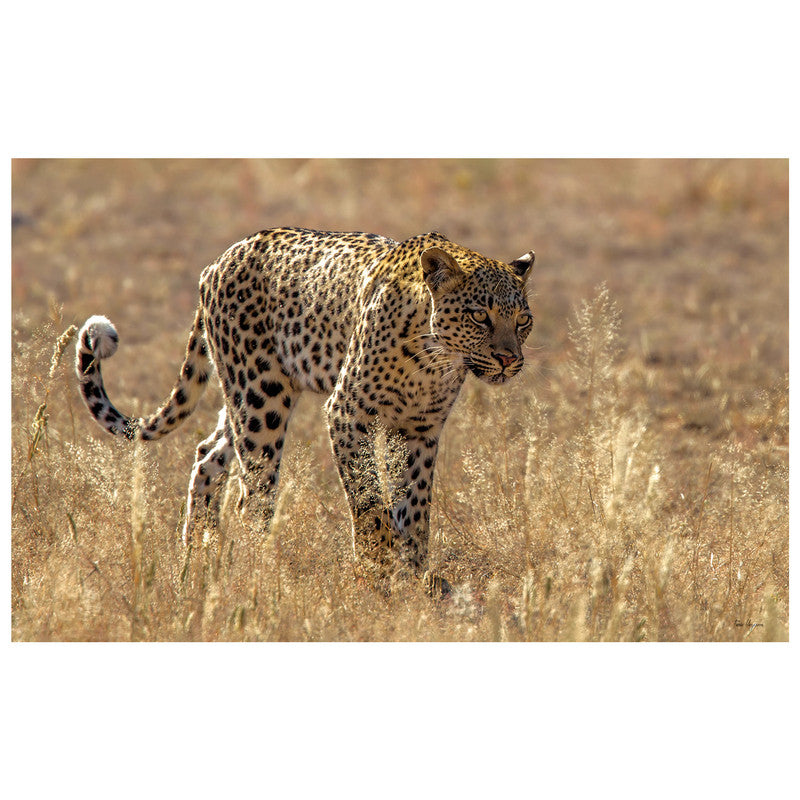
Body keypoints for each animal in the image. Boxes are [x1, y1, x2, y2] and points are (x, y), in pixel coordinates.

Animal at [75, 227, 535, 595]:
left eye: (523, 320)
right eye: (479, 316)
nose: (510, 360)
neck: (433, 359)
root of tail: (218, 261)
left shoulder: (421, 429)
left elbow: (416, 505)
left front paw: (414, 572)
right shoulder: (348, 413)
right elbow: (369, 500)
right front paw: (378, 568)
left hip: (246, 396)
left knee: (208, 454)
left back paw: (195, 554)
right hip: (261, 399)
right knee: (252, 494)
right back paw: (257, 567)